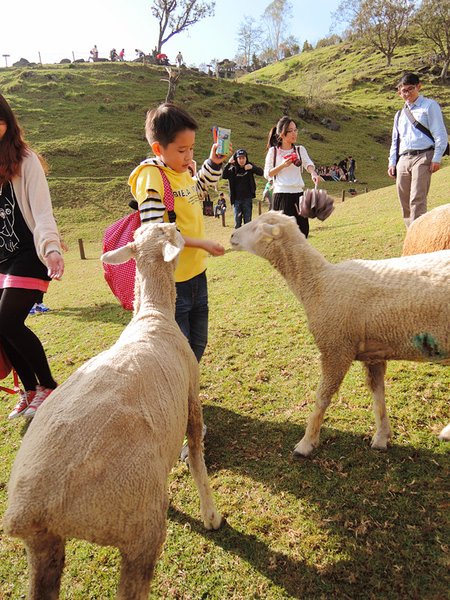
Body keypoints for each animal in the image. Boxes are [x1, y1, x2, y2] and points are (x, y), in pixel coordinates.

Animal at [2, 224, 223, 600]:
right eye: (170, 231)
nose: (178, 225)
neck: (153, 314)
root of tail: (38, 508)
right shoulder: (192, 399)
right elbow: (196, 457)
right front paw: (210, 515)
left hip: (42, 545)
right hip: (139, 531)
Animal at [230, 211, 450, 454]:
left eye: (256, 228)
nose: (231, 236)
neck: (318, 283)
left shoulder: (336, 348)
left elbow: (322, 398)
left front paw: (306, 443)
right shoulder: (374, 353)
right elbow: (378, 394)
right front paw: (382, 436)